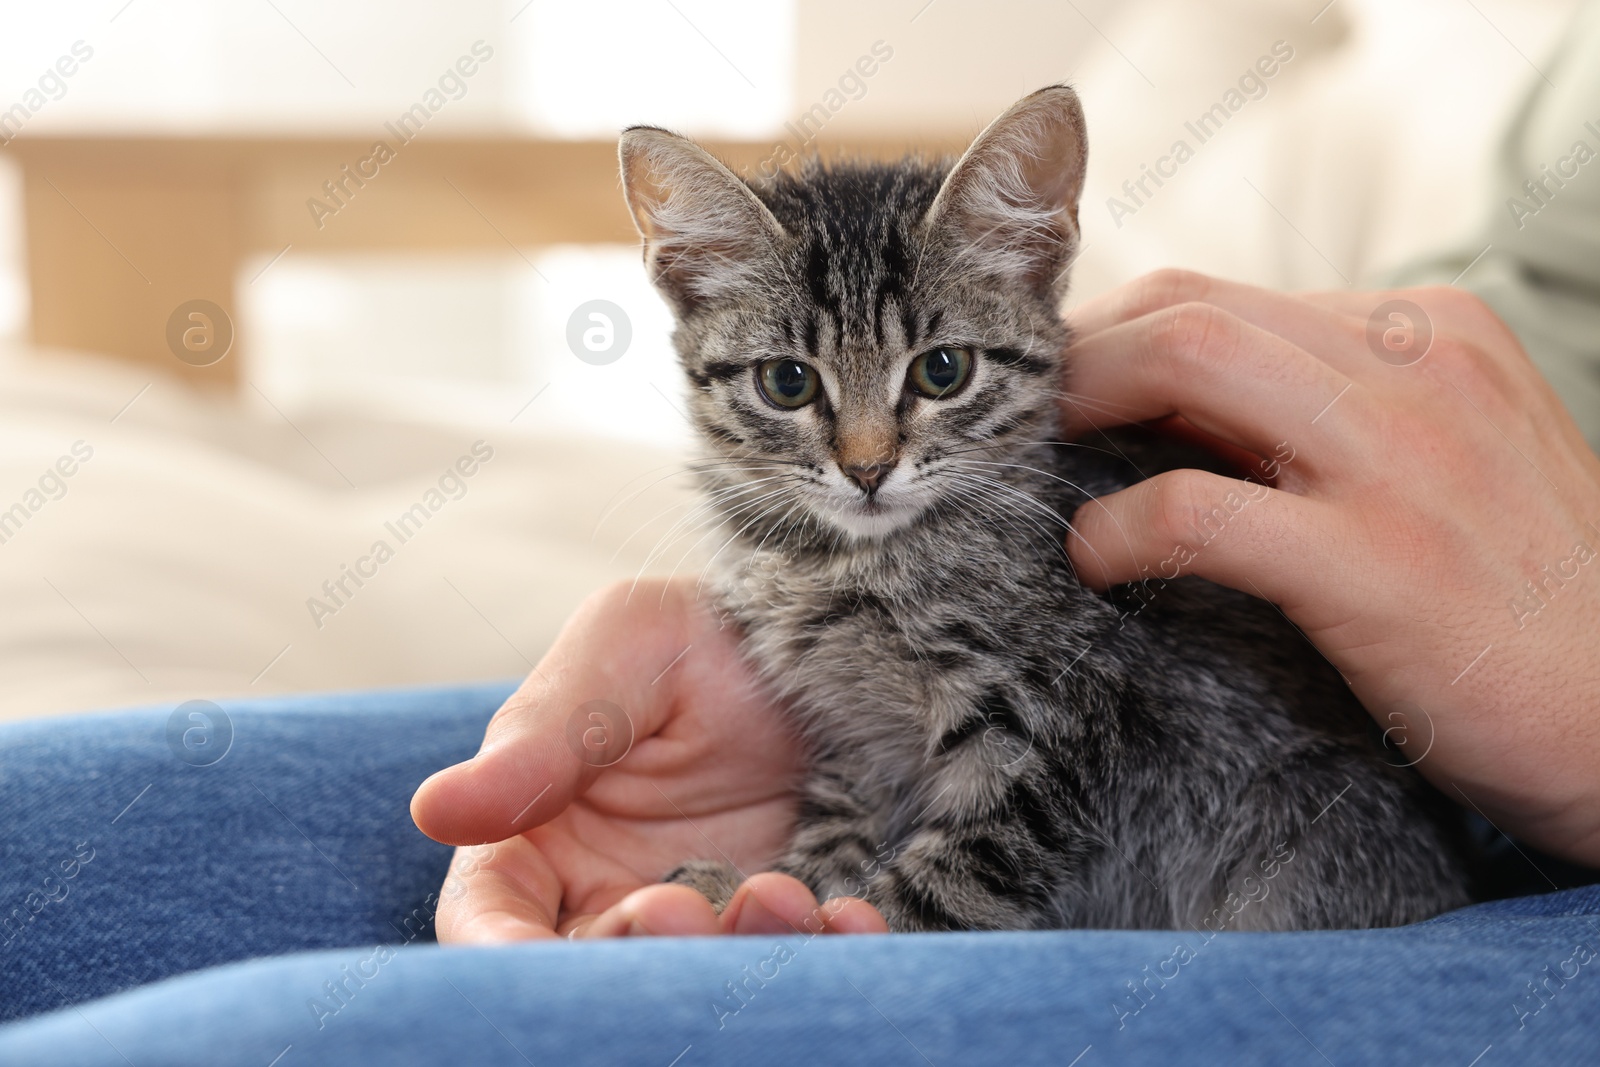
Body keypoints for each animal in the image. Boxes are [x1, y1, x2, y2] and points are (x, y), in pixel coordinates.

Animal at [617, 87, 1465, 927]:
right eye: (787, 382)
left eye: (943, 370)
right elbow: (839, 821)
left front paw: (842, 920)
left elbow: (949, 883)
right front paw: (775, 885)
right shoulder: (857, 736)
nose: (867, 469)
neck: (850, 565)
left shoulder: (1065, 728)